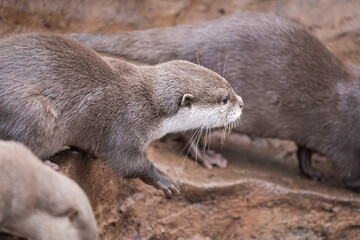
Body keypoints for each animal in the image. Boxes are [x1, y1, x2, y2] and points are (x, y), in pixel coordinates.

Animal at [70, 12, 360, 188]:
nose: (241, 102)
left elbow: (306, 149)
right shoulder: (347, 141)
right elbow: (349, 173)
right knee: (188, 133)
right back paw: (209, 158)